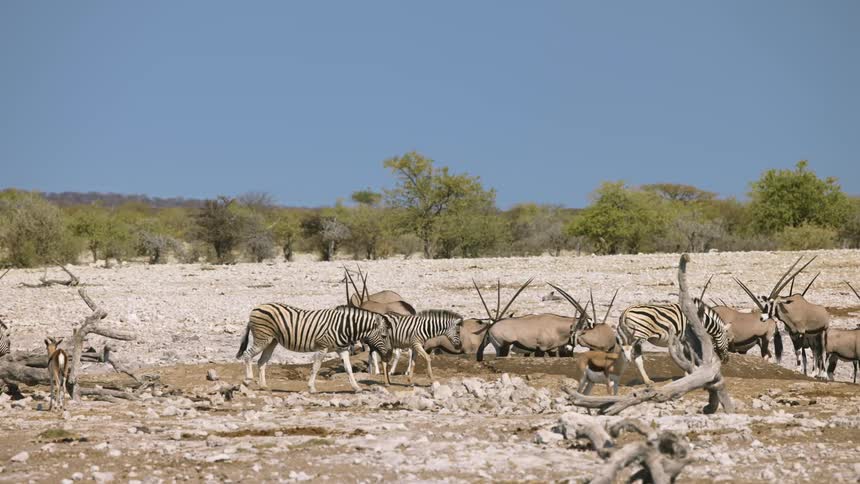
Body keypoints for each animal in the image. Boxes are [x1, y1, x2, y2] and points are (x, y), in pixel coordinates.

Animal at [236, 304, 392, 393]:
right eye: (384, 336)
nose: (390, 355)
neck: (345, 327)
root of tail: (257, 307)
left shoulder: (342, 349)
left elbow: (348, 369)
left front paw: (356, 388)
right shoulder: (322, 347)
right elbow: (316, 367)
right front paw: (311, 388)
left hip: (271, 341)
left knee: (261, 361)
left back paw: (263, 386)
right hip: (262, 338)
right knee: (247, 355)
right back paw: (247, 380)